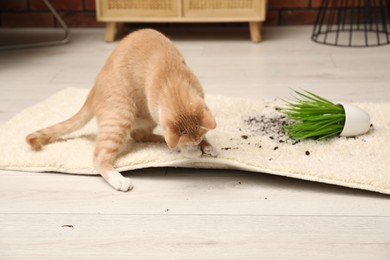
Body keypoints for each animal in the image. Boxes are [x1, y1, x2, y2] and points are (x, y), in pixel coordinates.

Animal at [25, 29, 218, 191]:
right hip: (121, 116)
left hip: (144, 117)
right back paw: (118, 179)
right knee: (99, 156)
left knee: (140, 135)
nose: (196, 145)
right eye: (190, 143)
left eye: (199, 138)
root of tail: (94, 87)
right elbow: (176, 141)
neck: (172, 79)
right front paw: (189, 150)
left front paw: (206, 145)